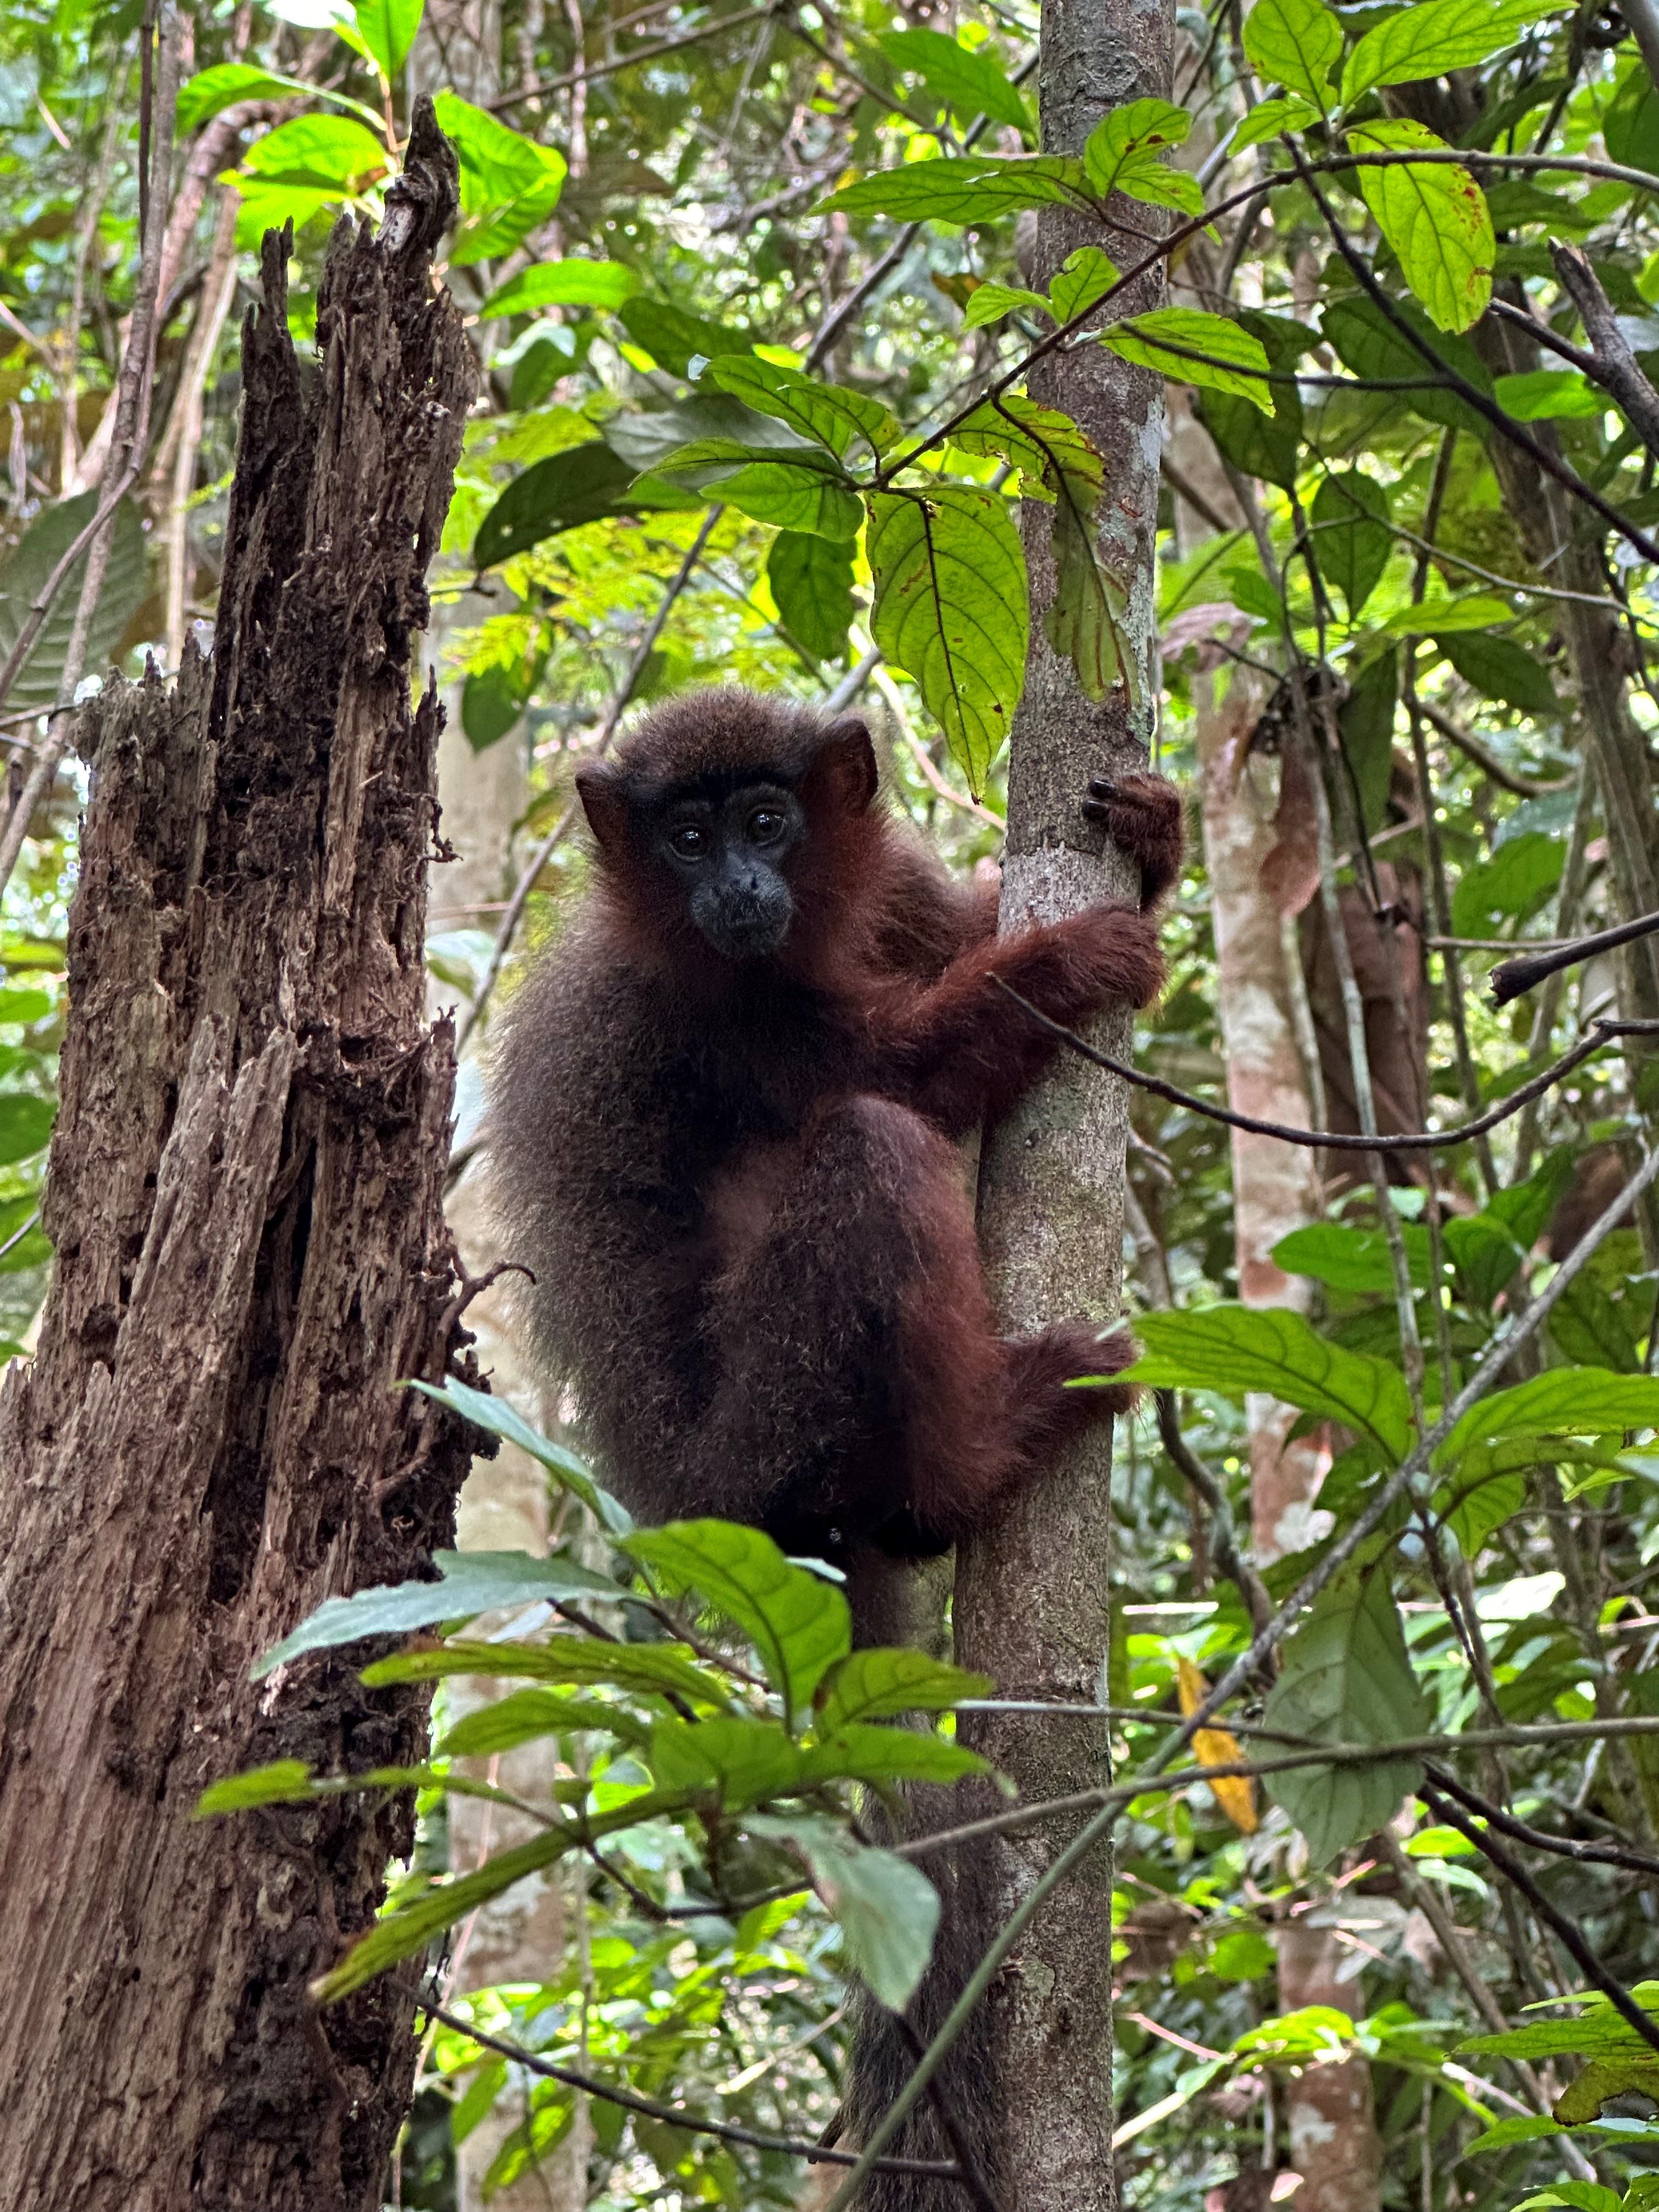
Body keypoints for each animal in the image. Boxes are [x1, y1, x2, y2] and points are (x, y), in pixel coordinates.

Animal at [485, 686, 1182, 1590]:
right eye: (688, 842)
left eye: (764, 826)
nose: (738, 887)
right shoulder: (707, 1017)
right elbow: (899, 1077)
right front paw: (1070, 959)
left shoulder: (900, 886)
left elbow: (964, 937)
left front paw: (1157, 834)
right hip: (770, 1436)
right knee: (872, 1141)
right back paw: (979, 1457)